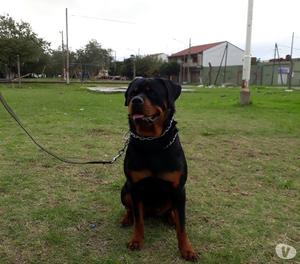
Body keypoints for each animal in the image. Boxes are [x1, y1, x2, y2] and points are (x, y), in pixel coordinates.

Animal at [120, 77, 198, 260]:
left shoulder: (179, 189)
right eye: (133, 93)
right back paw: (127, 218)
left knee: (171, 211)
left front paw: (186, 249)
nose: (136, 101)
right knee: (131, 209)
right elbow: (139, 221)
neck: (152, 142)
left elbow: (182, 226)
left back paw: (171, 219)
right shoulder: (135, 187)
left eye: (152, 92)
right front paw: (136, 240)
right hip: (125, 190)